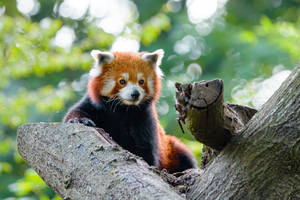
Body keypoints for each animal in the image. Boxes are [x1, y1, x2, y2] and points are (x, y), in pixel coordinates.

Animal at [62, 49, 197, 173]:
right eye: (122, 81)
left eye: (141, 81)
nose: (135, 94)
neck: (123, 109)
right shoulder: (94, 104)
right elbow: (76, 111)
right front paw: (80, 120)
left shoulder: (145, 119)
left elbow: (147, 151)